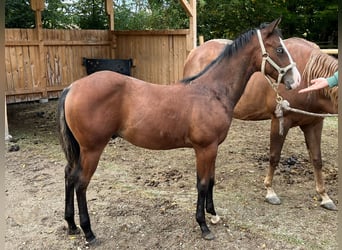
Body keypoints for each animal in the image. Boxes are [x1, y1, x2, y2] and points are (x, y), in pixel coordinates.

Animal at [57, 18, 300, 244]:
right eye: (279, 49)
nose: (295, 80)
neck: (212, 92)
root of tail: (72, 87)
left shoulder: (212, 148)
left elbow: (211, 180)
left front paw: (213, 214)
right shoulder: (204, 148)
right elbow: (202, 184)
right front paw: (203, 226)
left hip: (79, 150)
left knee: (69, 176)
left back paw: (71, 225)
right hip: (92, 149)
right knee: (81, 184)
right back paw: (88, 232)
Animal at [183, 36, 338, 211]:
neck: (306, 78)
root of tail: (194, 53)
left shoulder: (314, 123)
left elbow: (317, 159)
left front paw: (324, 196)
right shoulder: (280, 120)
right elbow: (274, 156)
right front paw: (270, 191)